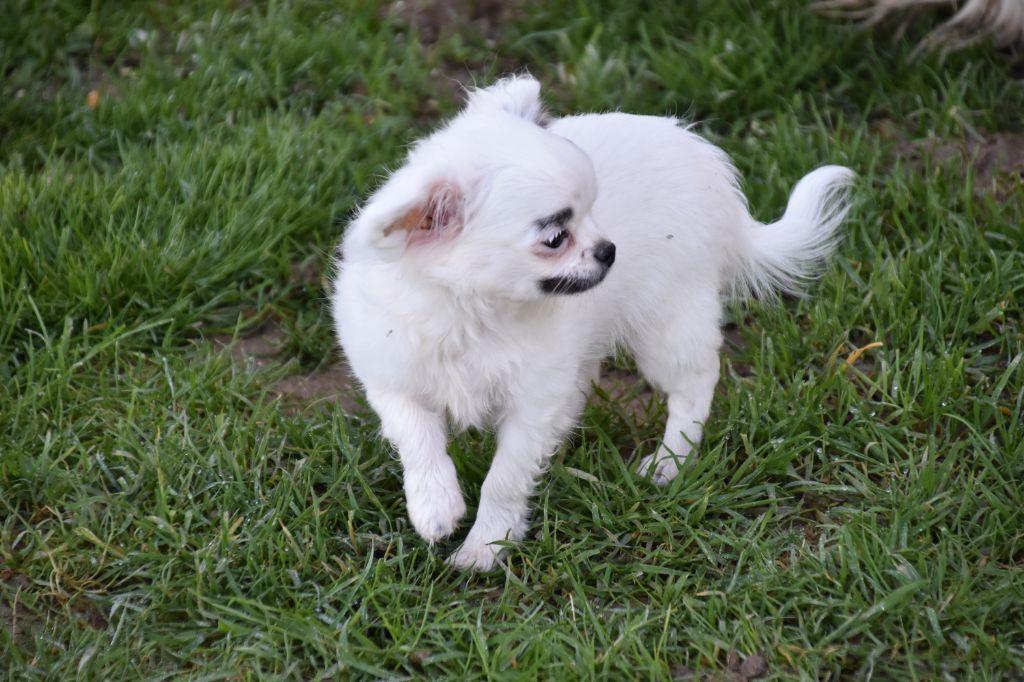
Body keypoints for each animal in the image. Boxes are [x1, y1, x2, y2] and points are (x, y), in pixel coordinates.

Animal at [329, 75, 856, 569]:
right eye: (556, 237)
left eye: (593, 212)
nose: (609, 250)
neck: (473, 313)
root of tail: (710, 168)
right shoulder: (393, 377)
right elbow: (418, 440)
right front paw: (434, 507)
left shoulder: (531, 402)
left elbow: (504, 478)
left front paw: (485, 546)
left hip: (666, 319)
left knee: (696, 383)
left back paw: (669, 462)